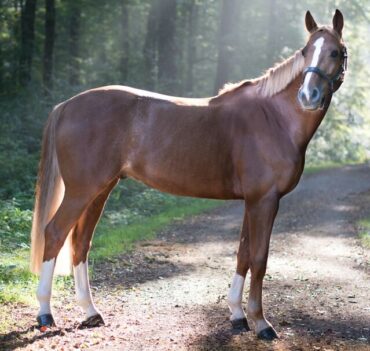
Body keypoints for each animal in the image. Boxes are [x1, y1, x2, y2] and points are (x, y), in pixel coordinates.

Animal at [29, 10, 346, 340]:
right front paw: (261, 322)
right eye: (306, 51)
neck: (274, 117)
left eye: (335, 52)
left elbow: (243, 254)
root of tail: (66, 105)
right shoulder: (265, 200)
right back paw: (45, 313)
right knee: (55, 233)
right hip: (81, 191)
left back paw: (91, 312)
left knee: (81, 242)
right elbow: (259, 259)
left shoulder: (252, 201)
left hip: (100, 189)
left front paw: (237, 315)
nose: (307, 96)